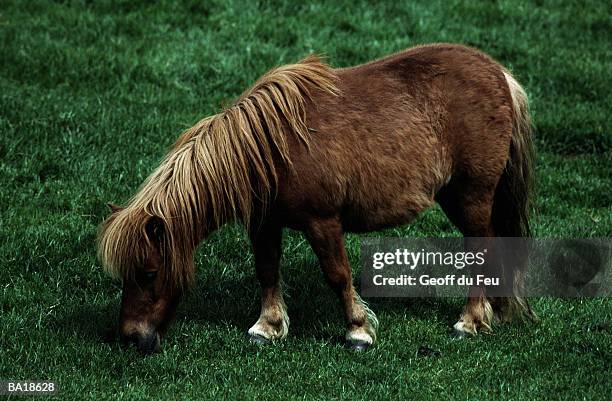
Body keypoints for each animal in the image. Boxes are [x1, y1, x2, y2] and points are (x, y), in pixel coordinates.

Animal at [98, 42, 532, 352]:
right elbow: (267, 271)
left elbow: (337, 275)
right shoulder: (264, 224)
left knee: (481, 251)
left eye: (148, 273)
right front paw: (268, 327)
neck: (270, 150)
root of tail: (499, 74)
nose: (131, 337)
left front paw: (358, 331)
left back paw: (470, 322)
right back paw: (496, 311)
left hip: (471, 196)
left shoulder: (322, 222)